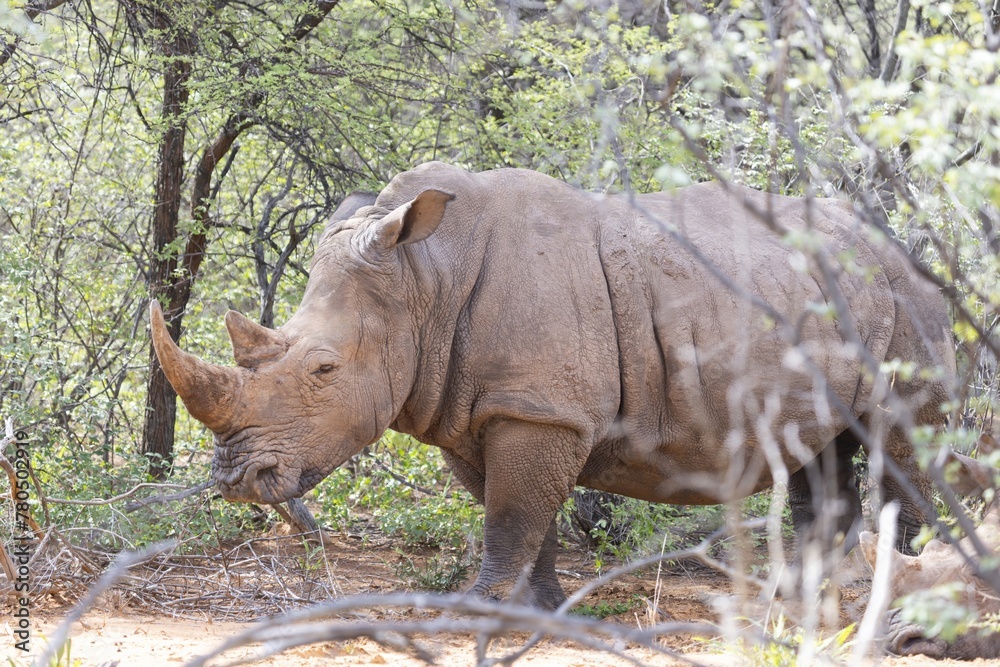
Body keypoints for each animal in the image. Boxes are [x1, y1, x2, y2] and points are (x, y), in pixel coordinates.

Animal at [150, 161, 955, 609]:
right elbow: (517, 513)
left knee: (895, 441)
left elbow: (512, 513)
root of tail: (907, 252)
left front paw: (476, 607)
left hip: (907, 303)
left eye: (323, 370)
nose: (234, 480)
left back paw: (898, 587)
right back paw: (812, 595)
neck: (423, 279)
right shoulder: (483, 407)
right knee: (824, 449)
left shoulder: (539, 410)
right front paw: (539, 606)